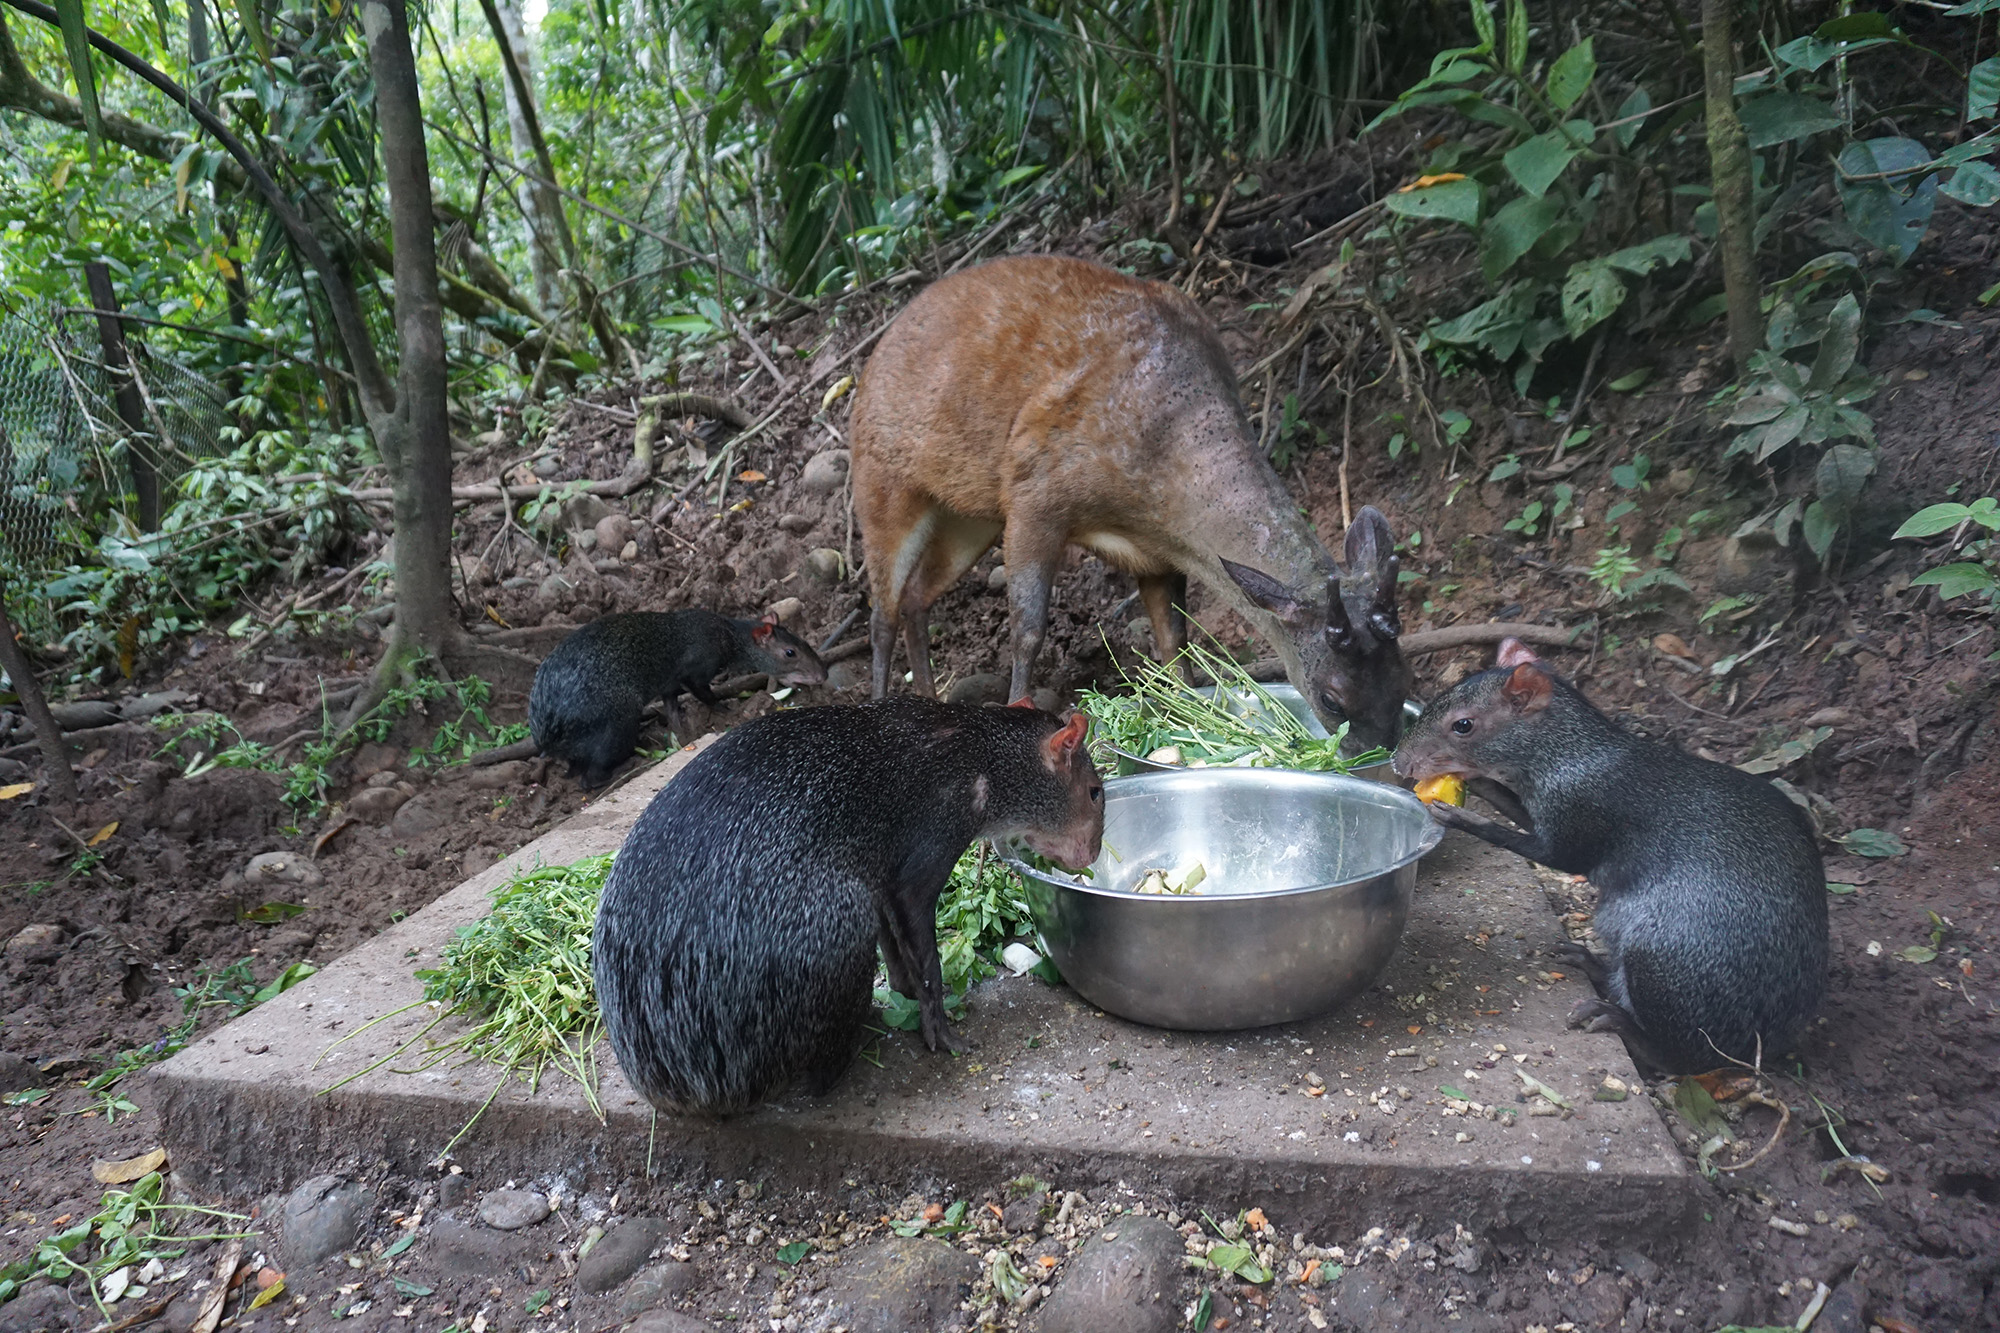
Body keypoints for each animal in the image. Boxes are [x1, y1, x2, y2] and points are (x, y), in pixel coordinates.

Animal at [847, 254, 1414, 751]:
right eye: (1332, 698)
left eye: (1403, 676)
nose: (1378, 752)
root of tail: (872, 356)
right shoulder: (1034, 491)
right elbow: (1028, 631)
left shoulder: (1159, 556)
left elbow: (1175, 646)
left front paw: (1185, 713)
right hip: (881, 481)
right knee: (882, 612)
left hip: (969, 517)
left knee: (917, 595)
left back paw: (927, 702)